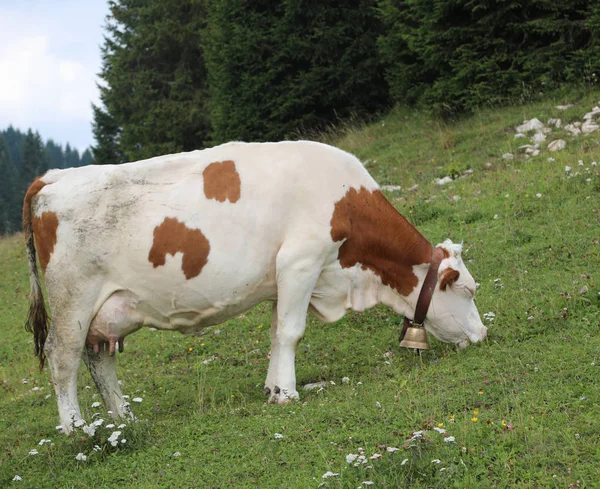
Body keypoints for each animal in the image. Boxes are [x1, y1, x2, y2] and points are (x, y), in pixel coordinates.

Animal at [23, 140, 488, 430]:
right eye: (468, 290)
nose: (483, 334)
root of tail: (52, 177)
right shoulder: (301, 261)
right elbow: (293, 331)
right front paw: (287, 394)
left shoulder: (282, 277)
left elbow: (277, 333)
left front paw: (273, 386)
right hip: (72, 298)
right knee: (63, 357)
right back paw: (78, 429)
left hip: (104, 310)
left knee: (99, 358)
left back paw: (124, 419)